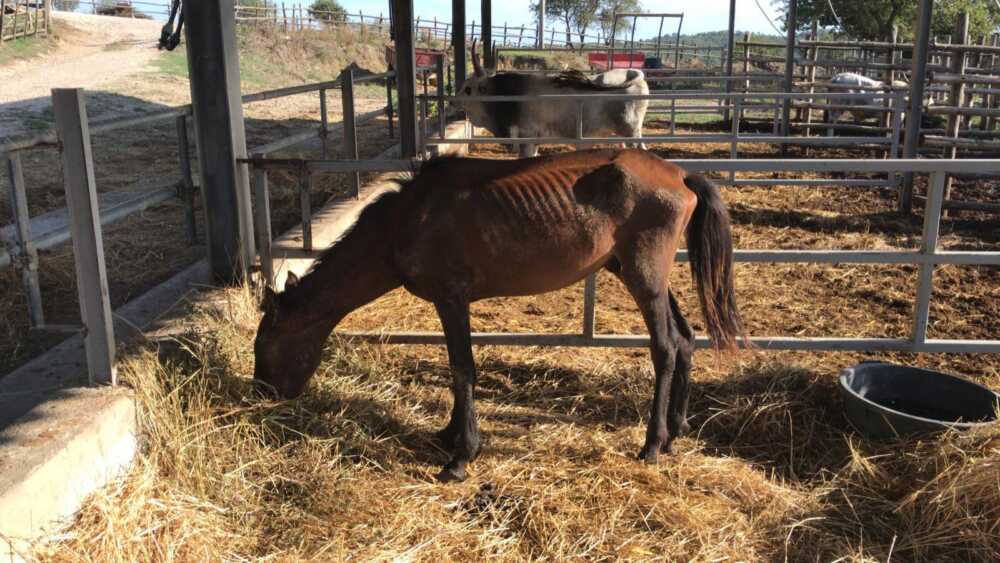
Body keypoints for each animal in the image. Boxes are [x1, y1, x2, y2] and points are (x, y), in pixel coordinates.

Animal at [254, 149, 744, 482]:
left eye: (265, 345)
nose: (263, 394)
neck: (407, 220)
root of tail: (680, 173)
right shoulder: (450, 304)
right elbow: (457, 370)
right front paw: (449, 434)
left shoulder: (452, 299)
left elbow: (462, 369)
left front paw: (461, 456)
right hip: (640, 275)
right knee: (685, 340)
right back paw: (676, 431)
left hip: (645, 279)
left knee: (664, 349)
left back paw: (652, 444)